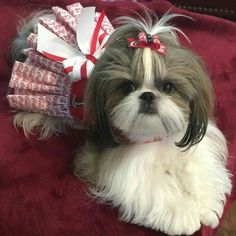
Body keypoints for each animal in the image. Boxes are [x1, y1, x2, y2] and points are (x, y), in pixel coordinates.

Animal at [10, 5, 230, 236]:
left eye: (168, 87)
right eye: (128, 87)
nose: (148, 95)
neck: (156, 137)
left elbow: (197, 168)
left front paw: (205, 205)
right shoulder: (115, 163)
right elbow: (152, 186)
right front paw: (183, 212)